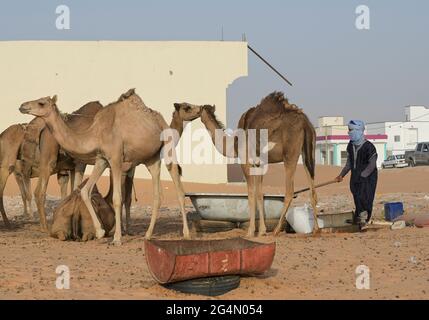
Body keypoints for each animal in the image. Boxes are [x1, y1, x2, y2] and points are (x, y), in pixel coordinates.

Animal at [19, 90, 200, 245]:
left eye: (41, 103)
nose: (23, 106)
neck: (95, 133)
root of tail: (161, 120)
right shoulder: (102, 159)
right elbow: (85, 191)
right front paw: (100, 232)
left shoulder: (116, 159)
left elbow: (118, 198)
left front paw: (117, 238)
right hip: (151, 158)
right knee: (158, 194)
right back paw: (148, 235)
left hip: (167, 148)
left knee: (179, 189)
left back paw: (186, 234)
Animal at [199, 91, 320, 236]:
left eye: (197, 109)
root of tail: (305, 124)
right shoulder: (259, 164)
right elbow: (260, 194)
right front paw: (262, 231)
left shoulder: (246, 162)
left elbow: (251, 194)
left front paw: (251, 231)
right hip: (309, 152)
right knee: (313, 190)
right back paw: (316, 230)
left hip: (290, 155)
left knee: (290, 191)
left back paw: (276, 230)